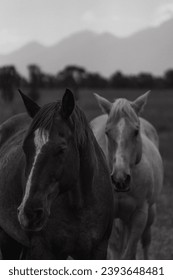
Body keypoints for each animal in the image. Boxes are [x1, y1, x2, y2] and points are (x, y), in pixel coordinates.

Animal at [0, 88, 114, 260]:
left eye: (61, 149)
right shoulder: (44, 251)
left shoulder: (98, 250)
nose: (29, 213)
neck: (79, 205)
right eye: (25, 148)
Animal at [90, 92, 164, 260]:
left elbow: (129, 253)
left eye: (136, 131)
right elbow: (115, 251)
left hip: (150, 213)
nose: (120, 179)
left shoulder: (140, 216)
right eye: (107, 132)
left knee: (146, 241)